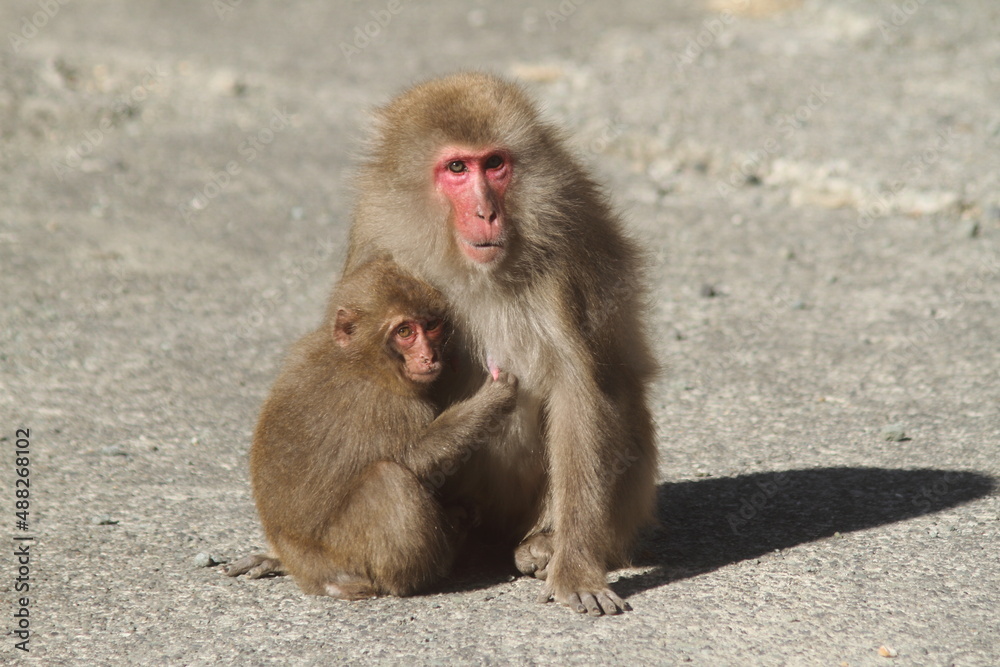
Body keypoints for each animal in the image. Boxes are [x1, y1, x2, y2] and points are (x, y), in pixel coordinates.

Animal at [225, 258, 518, 599]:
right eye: (404, 331)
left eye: (431, 325)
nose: (428, 356)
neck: (361, 358)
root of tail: (309, 574)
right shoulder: (387, 405)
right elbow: (414, 460)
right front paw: (493, 399)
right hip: (346, 558)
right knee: (387, 478)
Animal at [343, 72, 659, 616]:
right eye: (456, 167)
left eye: (494, 164)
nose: (487, 212)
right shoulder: (375, 233)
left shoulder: (564, 244)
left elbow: (577, 391)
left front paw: (575, 567)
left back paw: (544, 545)